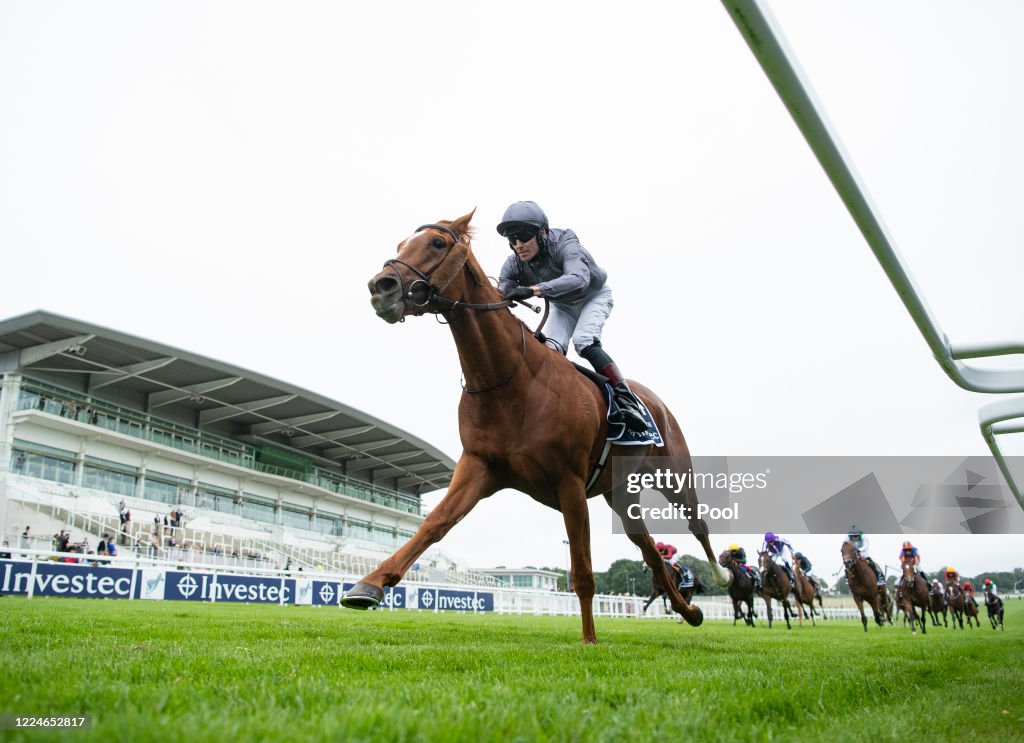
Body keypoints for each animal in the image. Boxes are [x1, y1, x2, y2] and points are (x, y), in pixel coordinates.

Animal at [348, 212, 733, 642]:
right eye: (401, 245)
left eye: (436, 243)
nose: (381, 287)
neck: (509, 380)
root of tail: (656, 402)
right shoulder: (480, 466)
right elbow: (434, 524)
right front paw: (370, 584)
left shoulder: (570, 482)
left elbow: (582, 571)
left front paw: (589, 639)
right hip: (619, 492)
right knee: (648, 547)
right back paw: (691, 612)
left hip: (674, 474)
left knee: (697, 523)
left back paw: (722, 576)